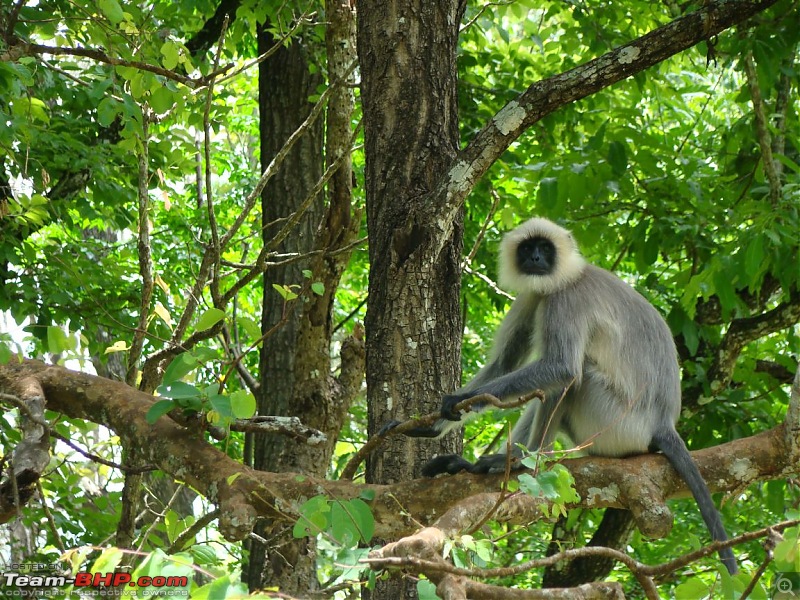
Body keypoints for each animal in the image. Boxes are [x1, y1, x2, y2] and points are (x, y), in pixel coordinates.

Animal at [388, 217, 736, 576]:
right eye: (528, 248)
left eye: (545, 248)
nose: (536, 259)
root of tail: (664, 423)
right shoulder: (535, 295)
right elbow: (504, 364)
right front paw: (430, 425)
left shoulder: (565, 299)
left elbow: (562, 368)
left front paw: (458, 402)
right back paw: (488, 464)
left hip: (617, 425)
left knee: (574, 379)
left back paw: (522, 463)